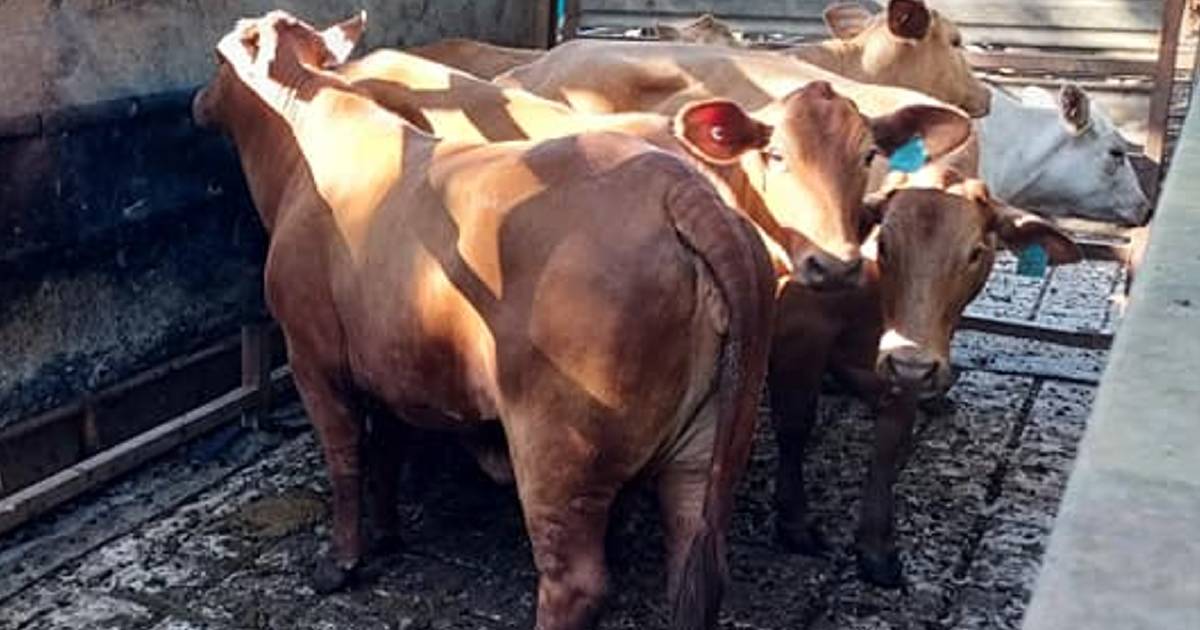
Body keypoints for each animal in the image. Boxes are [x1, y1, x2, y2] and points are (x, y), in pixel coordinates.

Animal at [194, 11, 777, 628]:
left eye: (218, 56)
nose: (197, 100)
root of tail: (679, 189)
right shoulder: (389, 365)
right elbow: (387, 453)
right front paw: (388, 537)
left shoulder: (312, 355)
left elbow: (346, 458)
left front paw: (342, 563)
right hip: (704, 448)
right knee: (695, 559)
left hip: (558, 445)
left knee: (576, 580)